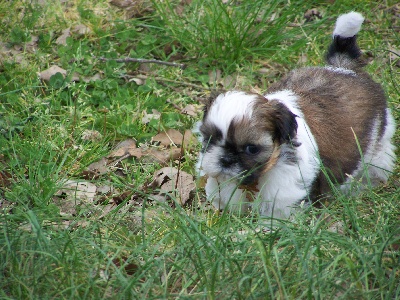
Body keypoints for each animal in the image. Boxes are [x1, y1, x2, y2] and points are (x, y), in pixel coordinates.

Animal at [195, 12, 396, 218]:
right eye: (209, 140)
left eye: (252, 149)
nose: (225, 160)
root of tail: (345, 68)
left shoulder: (285, 189)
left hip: (377, 138)